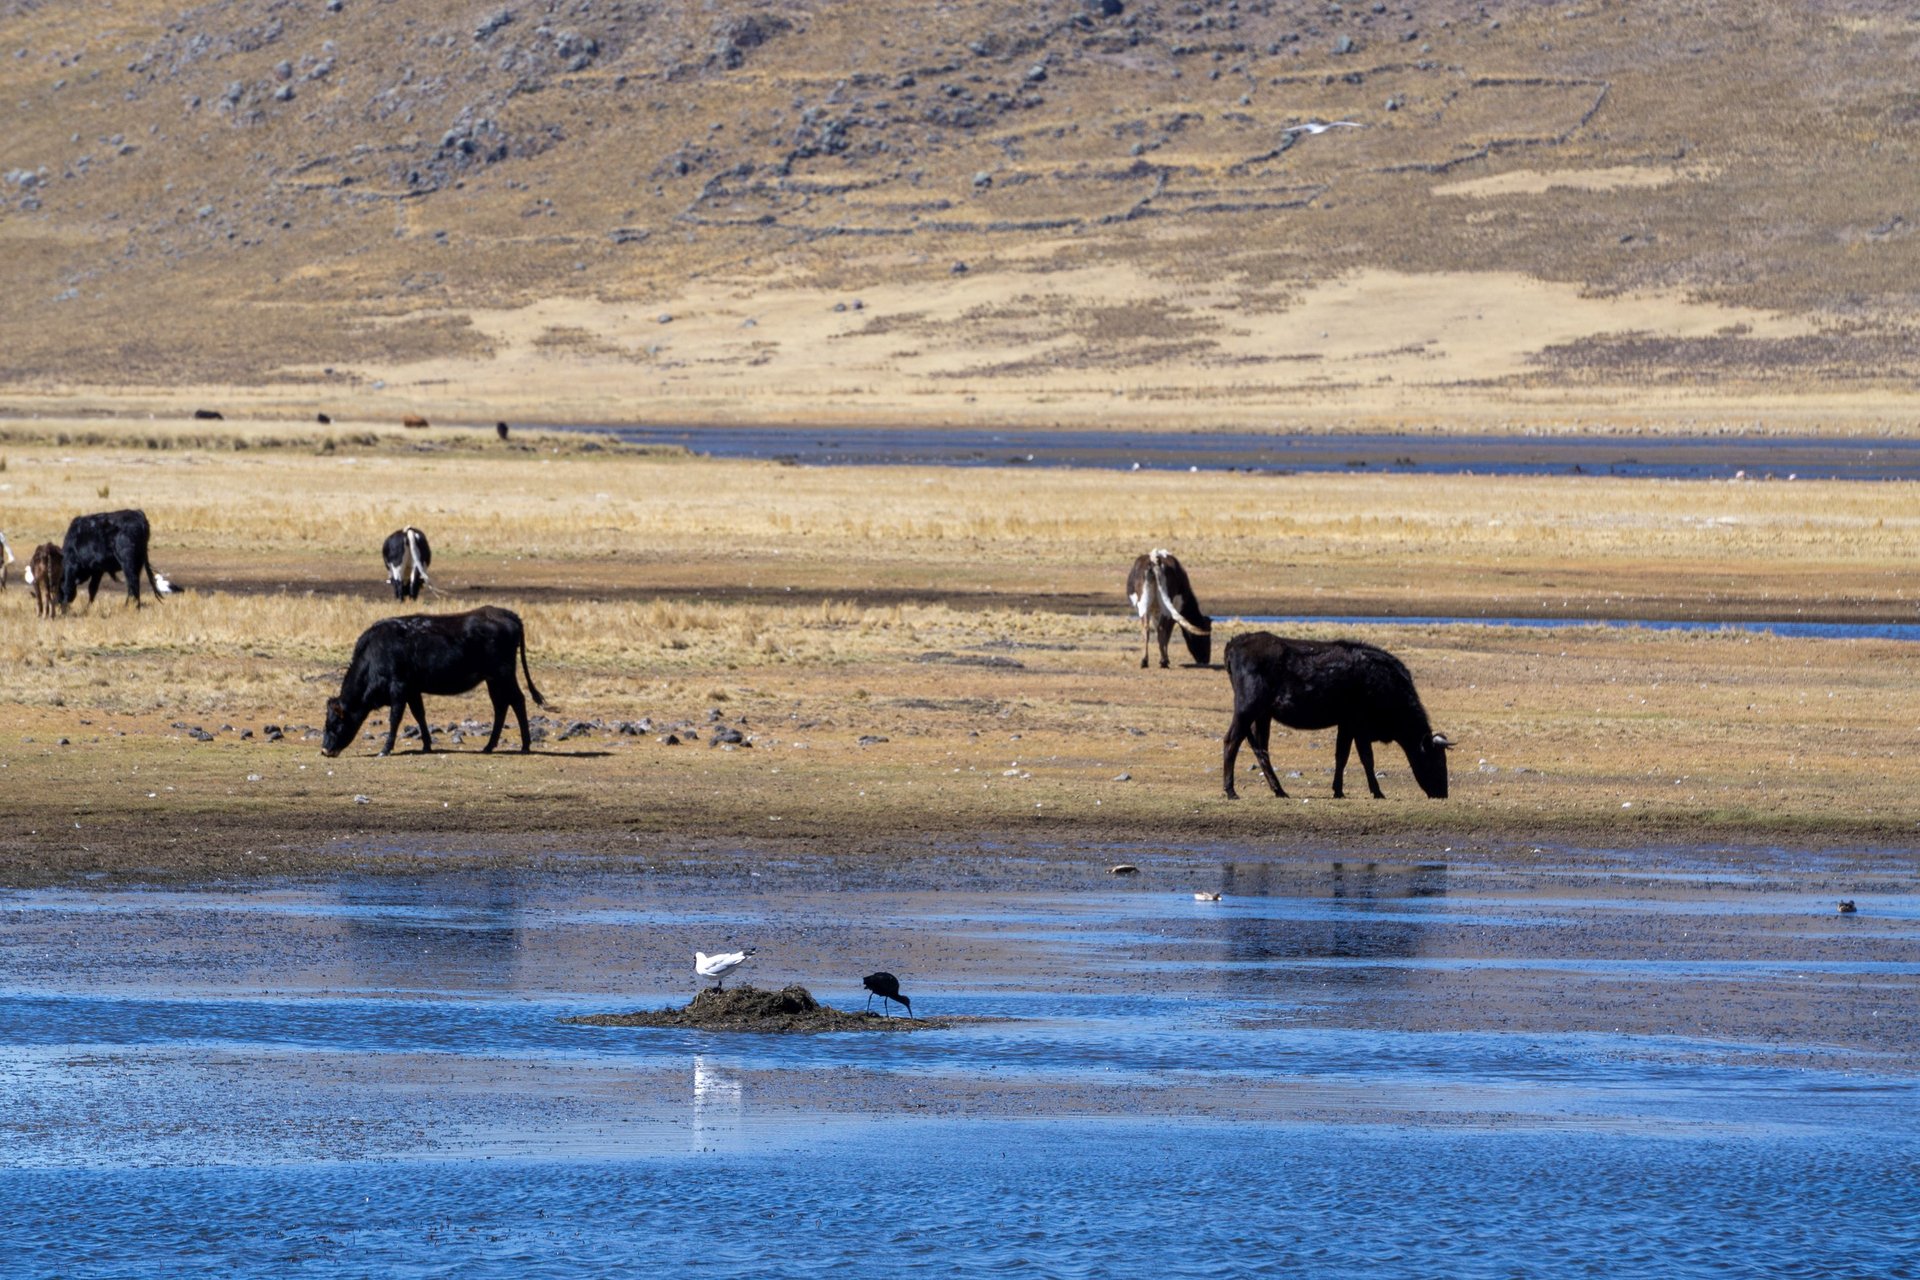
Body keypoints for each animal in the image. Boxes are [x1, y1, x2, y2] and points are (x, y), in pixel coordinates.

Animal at [324, 606, 549, 756]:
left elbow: (395, 718)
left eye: (335, 723)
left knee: (517, 701)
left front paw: (385, 749)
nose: (325, 750)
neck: (374, 653)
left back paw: (525, 746)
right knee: (501, 706)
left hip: (504, 674)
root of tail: (508, 614)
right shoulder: (413, 690)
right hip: (493, 679)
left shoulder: (399, 687)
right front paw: (426, 745)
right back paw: (489, 746)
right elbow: (419, 715)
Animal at [1221, 633, 1443, 802]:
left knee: (1261, 748)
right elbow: (1366, 758)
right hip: (1246, 709)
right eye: (1436, 759)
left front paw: (1338, 790)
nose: (1443, 793)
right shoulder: (1359, 723)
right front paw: (1378, 792)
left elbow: (1341, 756)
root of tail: (1234, 643)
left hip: (1262, 715)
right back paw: (1231, 791)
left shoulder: (1346, 723)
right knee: (1231, 741)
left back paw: (1279, 790)